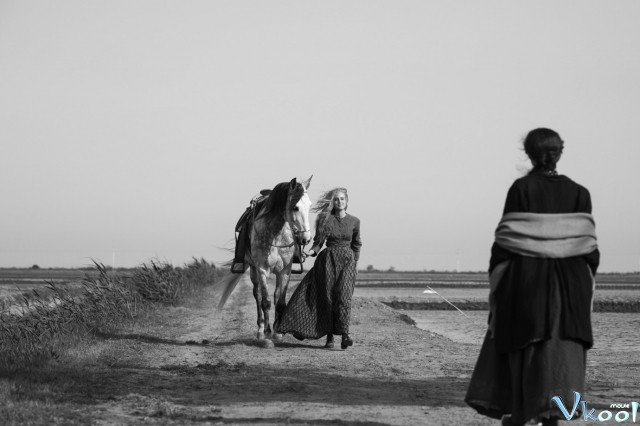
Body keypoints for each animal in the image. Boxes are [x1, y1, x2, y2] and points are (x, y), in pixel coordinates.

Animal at [215, 176, 313, 342]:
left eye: (310, 206)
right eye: (295, 207)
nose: (306, 238)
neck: (276, 234)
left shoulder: (285, 271)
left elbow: (280, 301)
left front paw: (278, 331)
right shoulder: (262, 269)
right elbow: (265, 302)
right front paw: (266, 332)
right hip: (253, 270)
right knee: (258, 295)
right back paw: (260, 328)